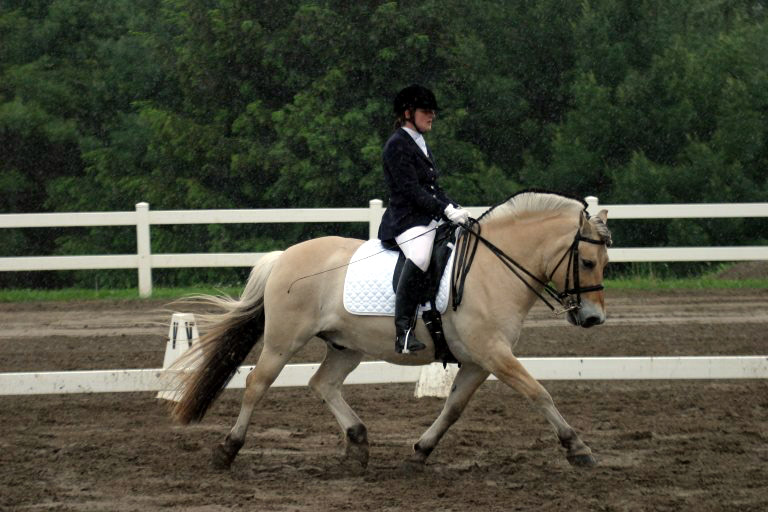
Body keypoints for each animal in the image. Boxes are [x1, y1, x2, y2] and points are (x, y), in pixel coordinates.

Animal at [169, 190, 611, 471]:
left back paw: (358, 444)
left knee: (323, 383)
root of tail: (283, 257)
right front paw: (578, 448)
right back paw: (227, 450)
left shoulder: (479, 360)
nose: (593, 319)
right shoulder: (493, 352)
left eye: (605, 262)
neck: (493, 267)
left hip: (346, 346)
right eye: (587, 262)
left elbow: (453, 408)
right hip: (283, 341)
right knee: (257, 384)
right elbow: (539, 393)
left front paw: (420, 452)